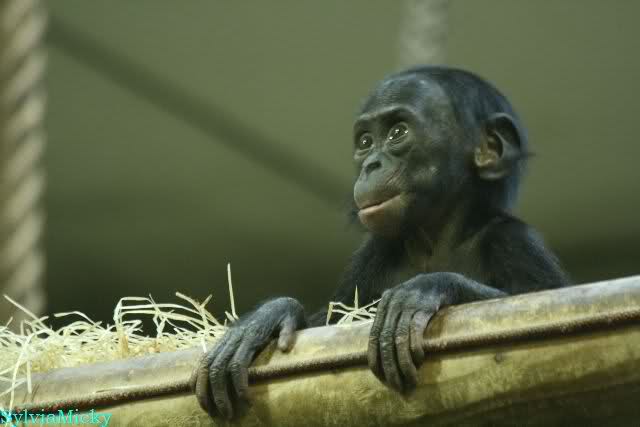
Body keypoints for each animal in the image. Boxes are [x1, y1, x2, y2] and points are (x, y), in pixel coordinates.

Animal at [192, 66, 570, 419]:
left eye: (397, 132)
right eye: (364, 142)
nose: (371, 164)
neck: (435, 237)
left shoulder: (515, 241)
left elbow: (542, 299)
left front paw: (423, 290)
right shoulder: (368, 258)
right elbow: (333, 318)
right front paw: (265, 318)